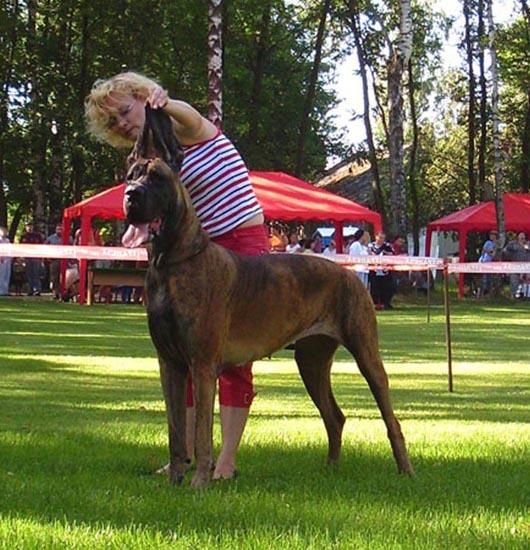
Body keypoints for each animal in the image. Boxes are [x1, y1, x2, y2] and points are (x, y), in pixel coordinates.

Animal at [123, 106, 414, 488]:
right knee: (334, 416)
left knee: (391, 419)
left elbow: (200, 432)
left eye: (156, 178)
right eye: (129, 177)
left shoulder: (202, 364)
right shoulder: (169, 363)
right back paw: (331, 470)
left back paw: (406, 471)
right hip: (311, 360)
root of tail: (349, 273)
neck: (171, 261)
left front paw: (199, 483)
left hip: (366, 354)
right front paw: (174, 480)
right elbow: (175, 430)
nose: (131, 195)